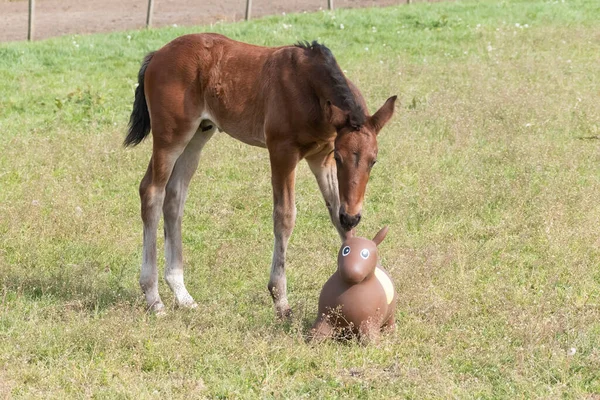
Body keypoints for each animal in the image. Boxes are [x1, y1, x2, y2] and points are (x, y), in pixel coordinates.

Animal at [124, 32, 396, 318]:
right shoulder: (282, 152)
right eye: (340, 157)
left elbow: (337, 217)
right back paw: (154, 298)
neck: (307, 85)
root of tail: (158, 54)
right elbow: (285, 217)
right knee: (151, 191)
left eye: (373, 161)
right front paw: (280, 299)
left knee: (174, 196)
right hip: (170, 137)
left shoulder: (320, 157)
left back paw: (181, 293)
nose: (354, 215)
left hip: (198, 134)